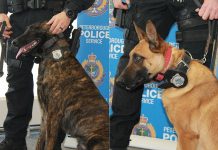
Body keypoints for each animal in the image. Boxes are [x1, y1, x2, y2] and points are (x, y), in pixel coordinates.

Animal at [11, 22, 109, 150]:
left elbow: (48, 144)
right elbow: (39, 141)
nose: (13, 42)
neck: (52, 55)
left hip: (95, 140)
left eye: (33, 29)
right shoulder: (45, 115)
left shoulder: (53, 115)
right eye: (27, 29)